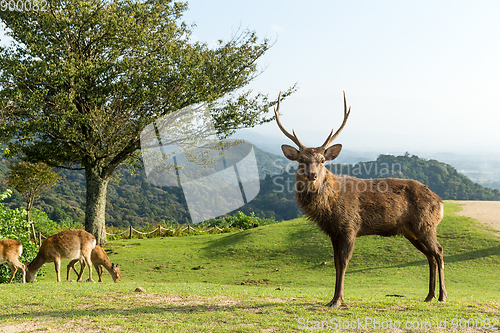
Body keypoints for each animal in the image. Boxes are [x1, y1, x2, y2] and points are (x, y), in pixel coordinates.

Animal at [276, 91, 448, 306]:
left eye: (322, 160)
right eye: (301, 159)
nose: (312, 175)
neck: (330, 207)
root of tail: (439, 202)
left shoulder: (350, 225)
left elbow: (343, 262)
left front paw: (338, 300)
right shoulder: (334, 232)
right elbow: (335, 263)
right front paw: (333, 298)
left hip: (426, 224)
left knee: (439, 251)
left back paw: (442, 295)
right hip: (411, 231)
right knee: (430, 256)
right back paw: (429, 296)